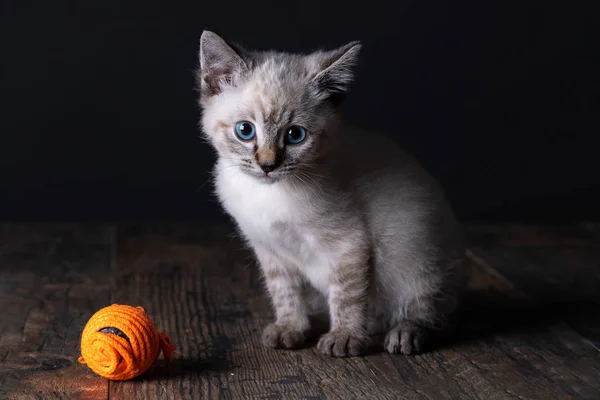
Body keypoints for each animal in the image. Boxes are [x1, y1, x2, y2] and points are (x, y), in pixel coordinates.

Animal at [197, 31, 468, 356]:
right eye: (245, 131)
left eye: (295, 135)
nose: (268, 165)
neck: (270, 195)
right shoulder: (270, 250)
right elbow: (285, 294)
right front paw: (291, 329)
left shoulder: (348, 244)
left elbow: (346, 296)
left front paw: (345, 337)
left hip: (416, 261)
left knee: (430, 313)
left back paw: (405, 334)